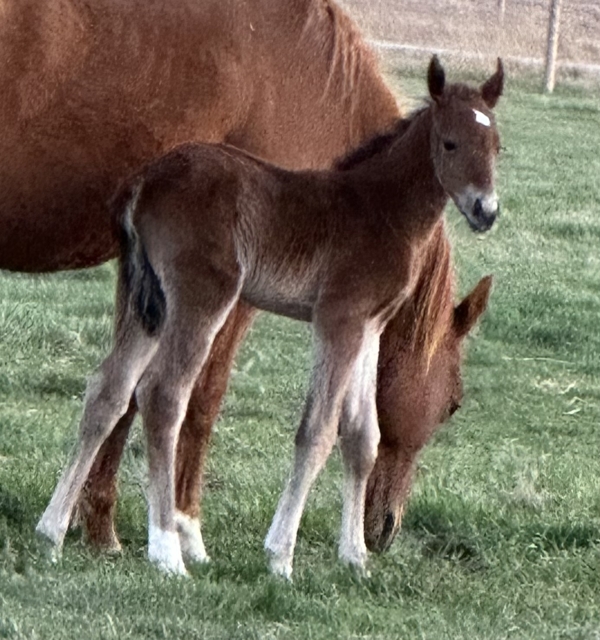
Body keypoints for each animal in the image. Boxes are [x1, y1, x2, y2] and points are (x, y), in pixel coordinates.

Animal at [0, 0, 403, 548]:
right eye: (453, 404)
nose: (385, 528)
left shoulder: (147, 282)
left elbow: (117, 393)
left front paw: (96, 523)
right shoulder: (230, 292)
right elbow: (197, 397)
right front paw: (179, 525)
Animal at [37, 56, 503, 577]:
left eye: (496, 146)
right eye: (450, 143)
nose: (485, 210)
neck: (380, 210)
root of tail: (144, 182)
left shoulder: (370, 326)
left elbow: (363, 436)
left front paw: (355, 558)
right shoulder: (339, 319)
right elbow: (317, 431)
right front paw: (280, 557)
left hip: (149, 306)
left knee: (109, 389)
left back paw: (52, 534)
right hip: (203, 296)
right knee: (162, 394)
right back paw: (167, 553)